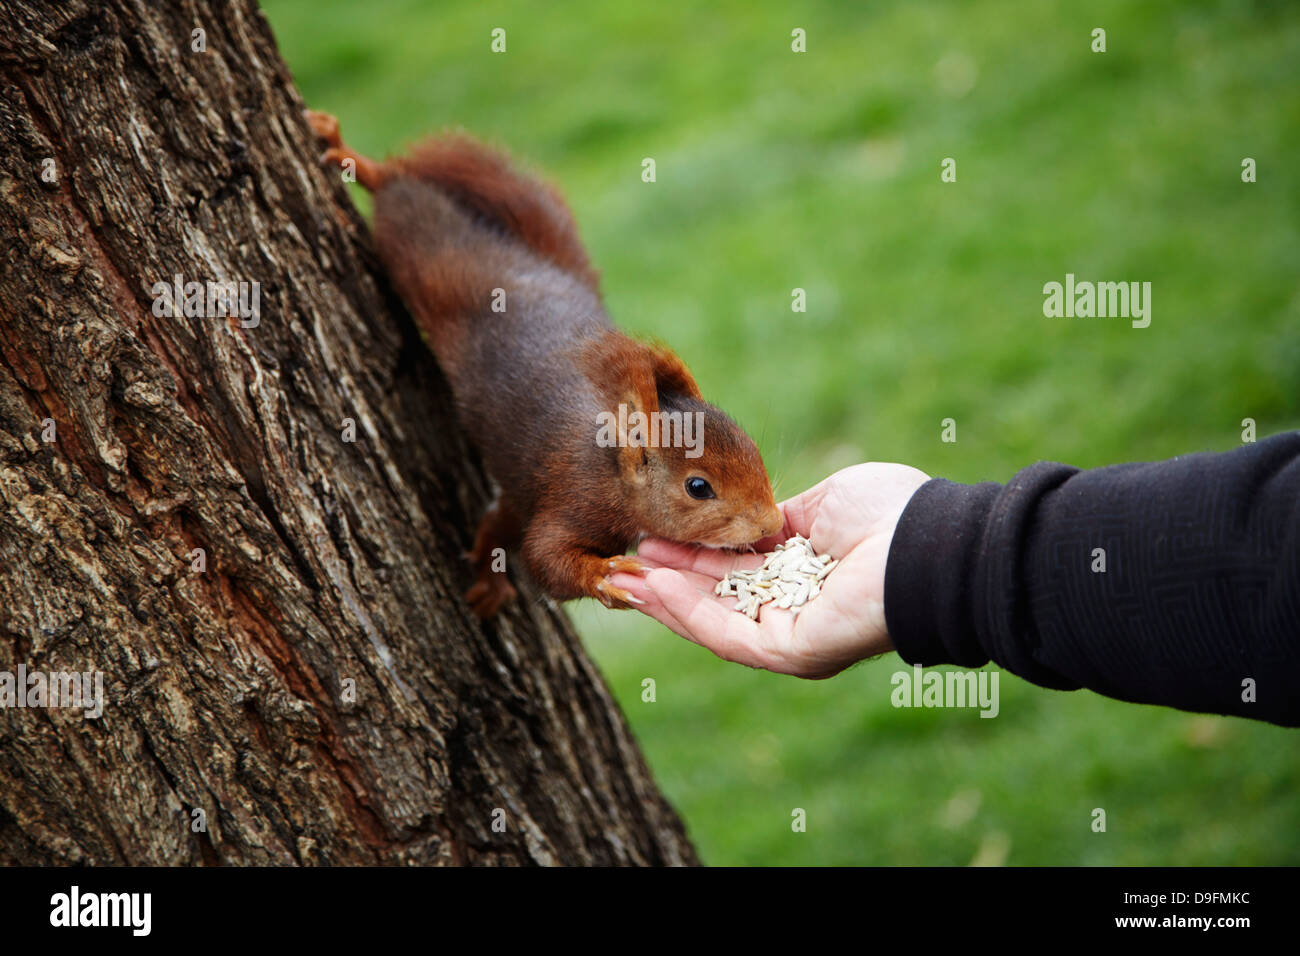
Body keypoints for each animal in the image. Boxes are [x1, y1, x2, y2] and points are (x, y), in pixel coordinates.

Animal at [304, 110, 780, 621]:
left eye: (752, 447)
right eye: (698, 487)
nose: (772, 522)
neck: (611, 469)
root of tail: (529, 264)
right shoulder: (573, 496)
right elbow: (545, 558)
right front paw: (604, 575)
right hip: (424, 254)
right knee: (399, 190)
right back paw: (353, 157)